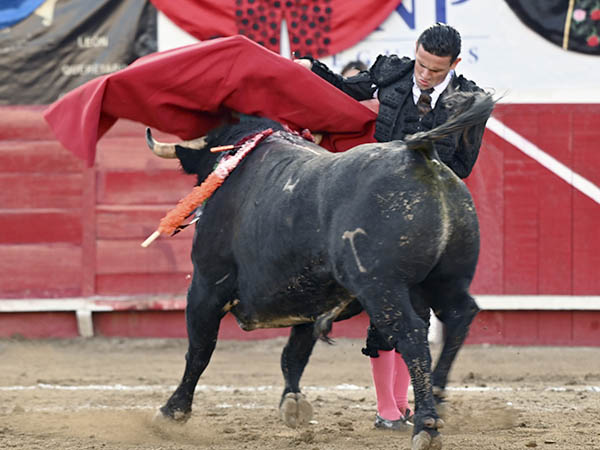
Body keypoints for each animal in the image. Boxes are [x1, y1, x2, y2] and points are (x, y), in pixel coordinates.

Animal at [148, 91, 494, 450]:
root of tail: (420, 154)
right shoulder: (309, 292)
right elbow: (295, 351)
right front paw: (293, 402)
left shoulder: (206, 285)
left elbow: (200, 350)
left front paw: (172, 411)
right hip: (444, 278)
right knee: (459, 315)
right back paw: (437, 395)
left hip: (382, 287)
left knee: (411, 334)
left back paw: (425, 424)